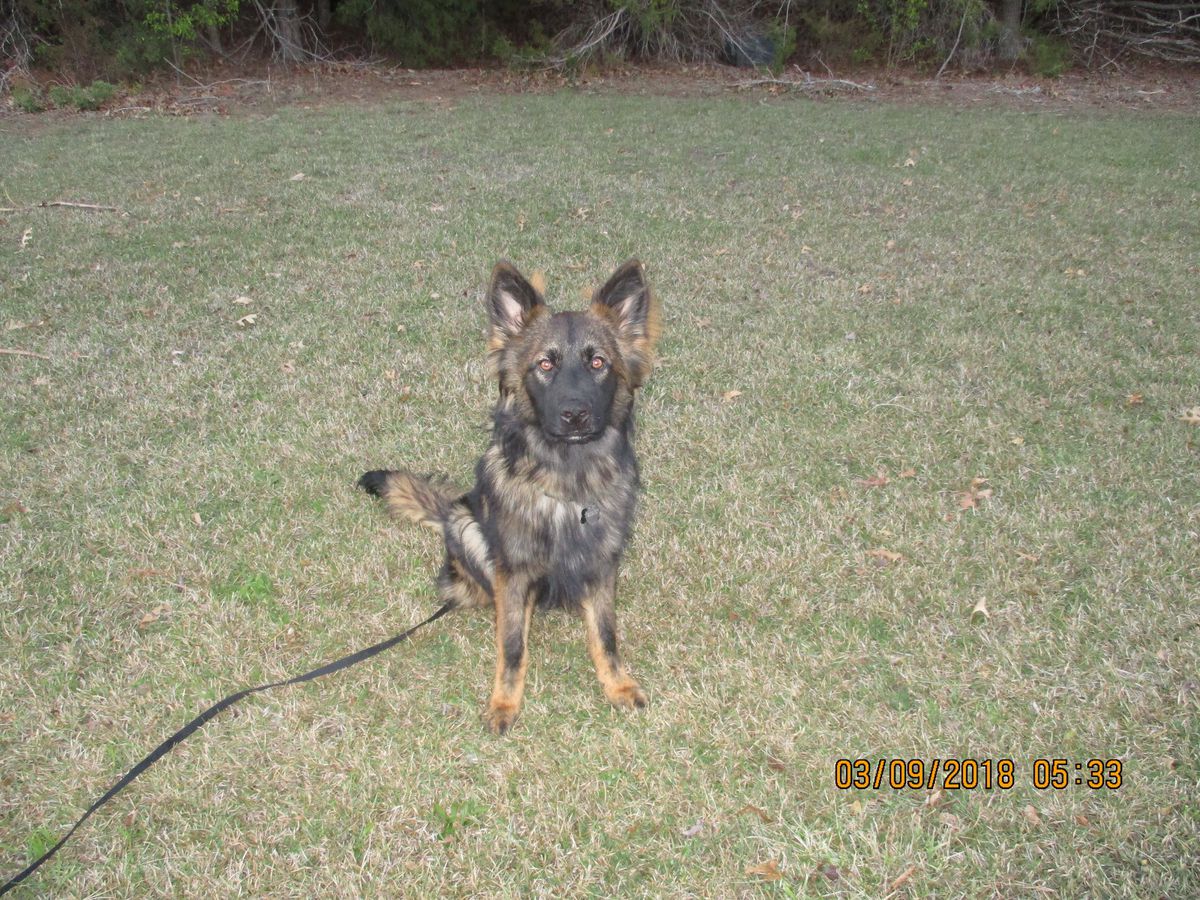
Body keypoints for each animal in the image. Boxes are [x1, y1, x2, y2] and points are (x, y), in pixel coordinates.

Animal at [355, 259, 662, 734]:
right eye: (545, 364)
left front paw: (617, 685)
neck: (566, 482)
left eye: (598, 362)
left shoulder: (600, 564)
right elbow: (513, 643)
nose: (575, 414)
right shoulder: (513, 572)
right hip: (468, 529)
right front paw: (504, 702)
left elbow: (605, 635)